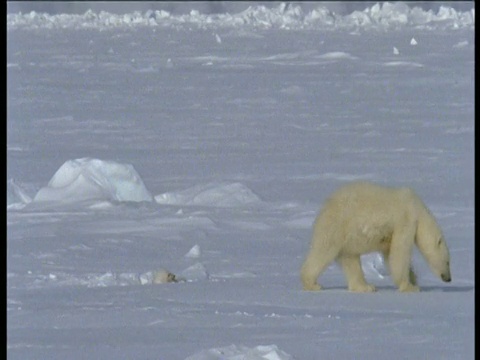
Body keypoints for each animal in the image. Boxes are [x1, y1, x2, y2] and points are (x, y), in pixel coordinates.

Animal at [302, 183, 452, 292]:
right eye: (448, 262)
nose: (448, 278)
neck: (417, 209)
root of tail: (324, 209)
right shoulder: (405, 220)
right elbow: (400, 252)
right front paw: (410, 286)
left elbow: (389, 254)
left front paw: (413, 279)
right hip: (337, 226)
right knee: (323, 251)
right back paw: (311, 283)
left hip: (347, 237)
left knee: (350, 259)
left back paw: (366, 287)